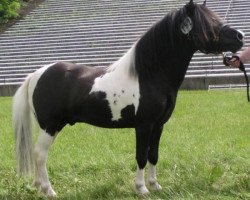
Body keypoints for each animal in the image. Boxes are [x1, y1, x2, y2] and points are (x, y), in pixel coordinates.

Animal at [12, 0, 243, 197]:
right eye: (209, 24)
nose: (240, 36)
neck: (150, 75)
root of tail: (36, 74)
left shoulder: (159, 125)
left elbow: (153, 155)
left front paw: (155, 185)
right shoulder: (144, 125)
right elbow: (141, 156)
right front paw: (141, 188)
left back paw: (40, 187)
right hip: (50, 126)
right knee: (40, 154)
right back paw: (49, 190)